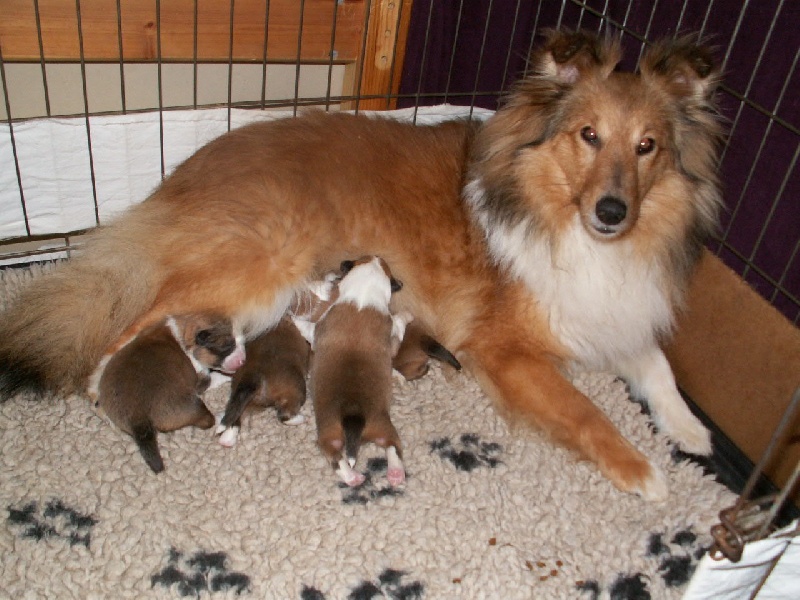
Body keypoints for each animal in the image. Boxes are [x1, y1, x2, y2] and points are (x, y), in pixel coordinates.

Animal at [88, 314, 244, 474]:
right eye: (228, 346)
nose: (243, 360)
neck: (184, 331)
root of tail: (137, 418)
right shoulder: (200, 379)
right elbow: (214, 377)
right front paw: (227, 376)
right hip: (191, 405)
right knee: (207, 421)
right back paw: (221, 419)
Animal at [216, 316, 310, 448]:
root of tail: (252, 376)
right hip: (296, 391)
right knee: (284, 415)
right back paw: (300, 418)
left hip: (248, 402)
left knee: (235, 418)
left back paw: (227, 439)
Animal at [304, 256, 410, 488]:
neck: (363, 297)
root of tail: (353, 416)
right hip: (381, 427)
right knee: (392, 447)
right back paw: (392, 475)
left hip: (332, 436)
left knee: (338, 459)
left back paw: (358, 477)